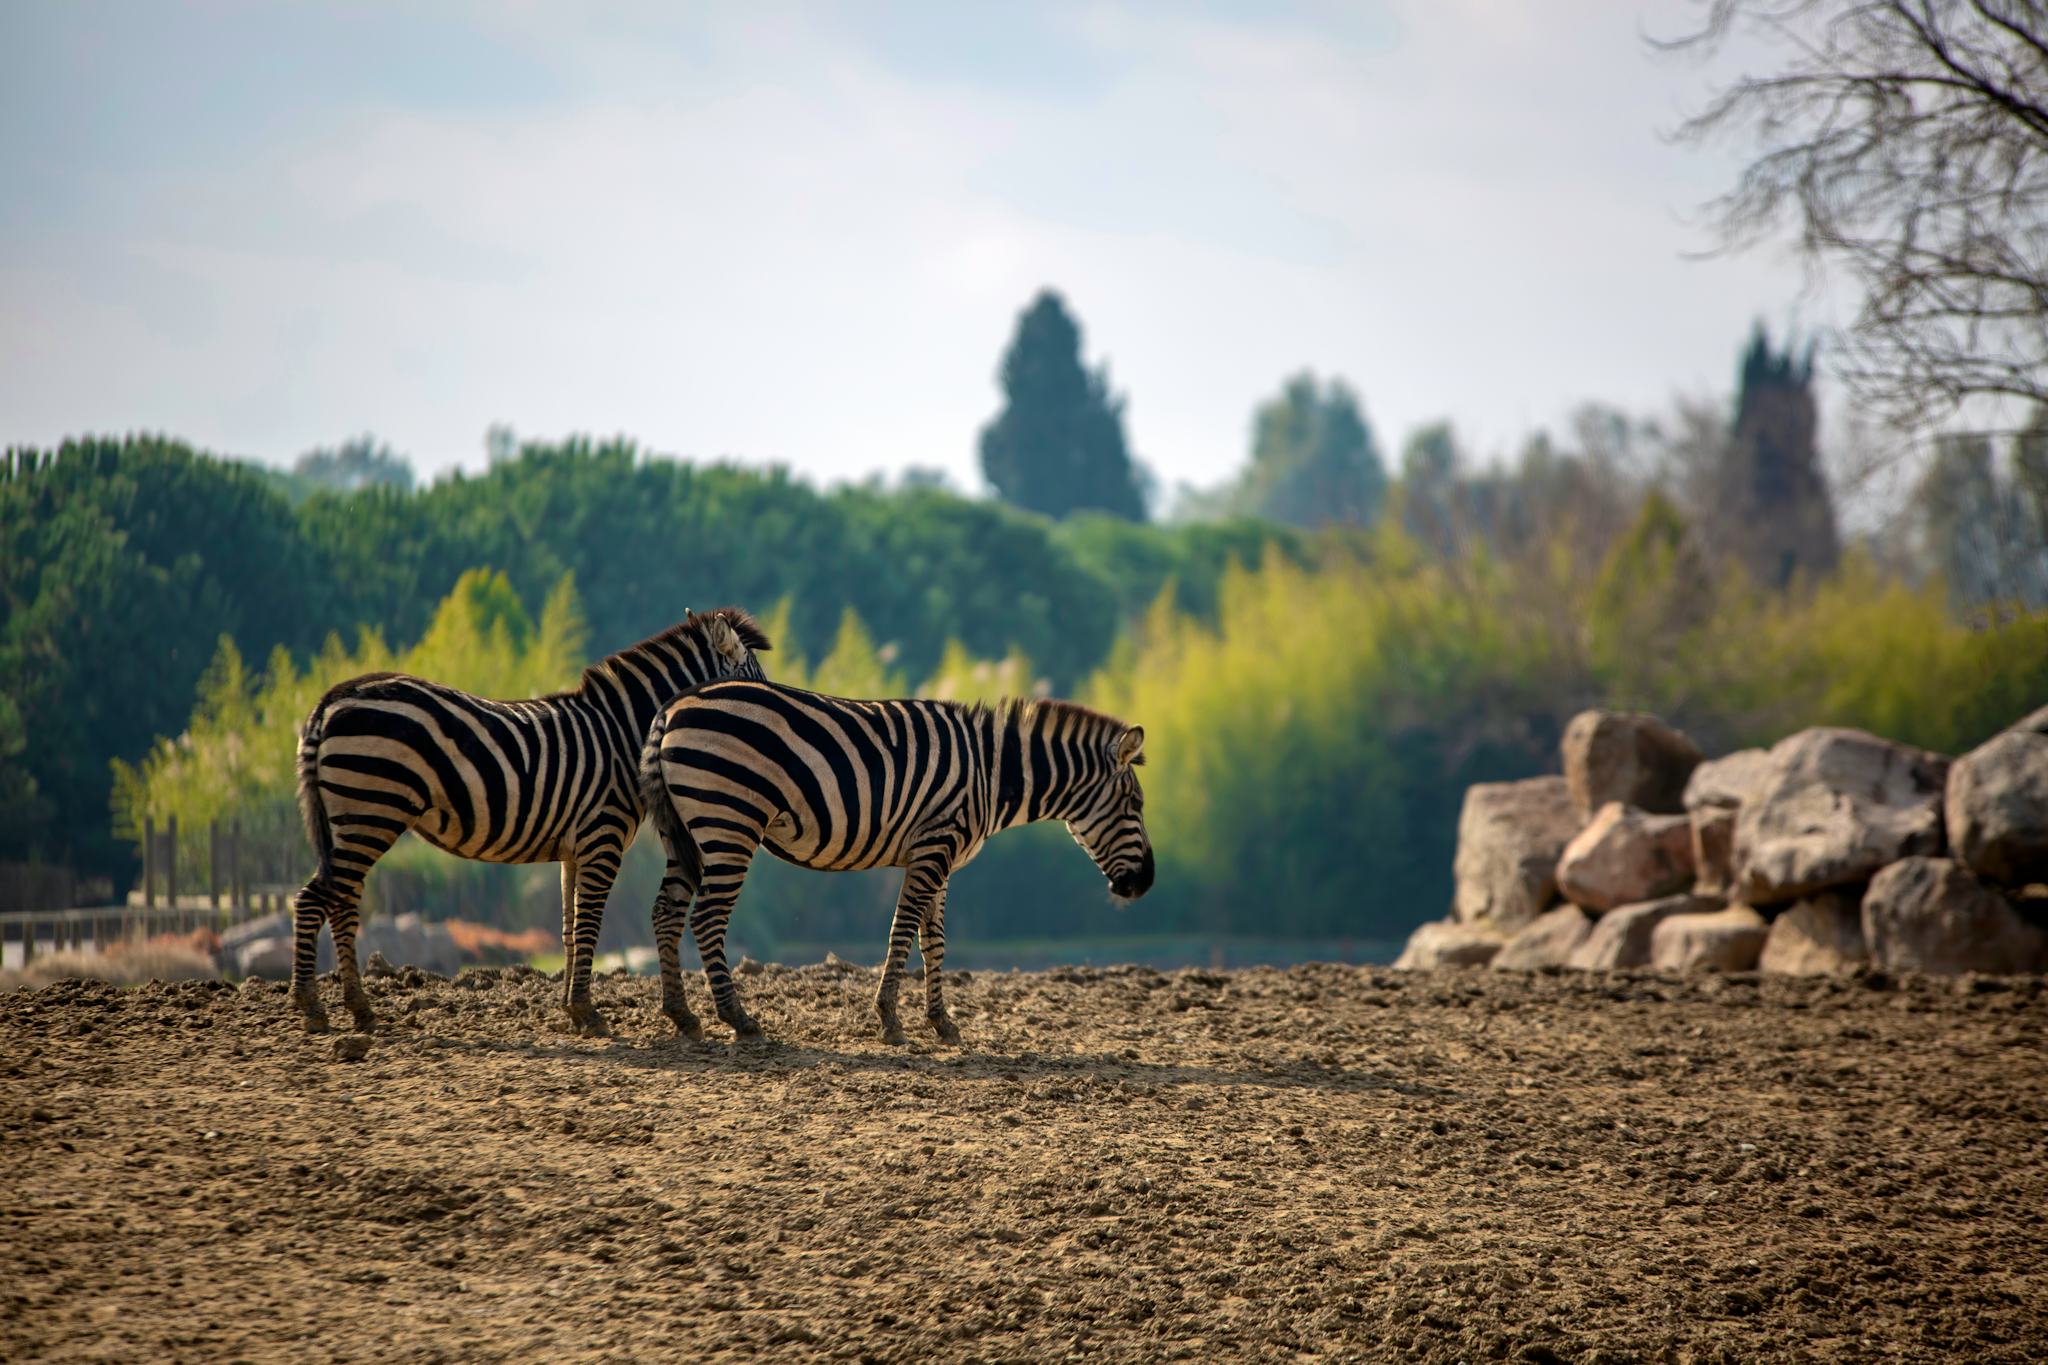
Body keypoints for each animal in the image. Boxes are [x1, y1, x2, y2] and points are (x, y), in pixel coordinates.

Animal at [288, 605, 770, 1035]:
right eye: (756, 681)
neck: (621, 735)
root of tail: (334, 696)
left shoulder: (575, 849)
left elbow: (570, 927)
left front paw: (572, 1011)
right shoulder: (602, 837)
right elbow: (590, 922)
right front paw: (588, 1014)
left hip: (356, 817)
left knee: (337, 900)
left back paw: (354, 1009)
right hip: (371, 809)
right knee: (319, 899)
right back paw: (316, 1008)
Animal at [638, 683, 1155, 1047]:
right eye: (1135, 804)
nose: (1145, 884)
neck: (991, 775)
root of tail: (673, 707)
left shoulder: (943, 856)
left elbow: (935, 942)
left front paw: (942, 1022)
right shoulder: (935, 845)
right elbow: (903, 930)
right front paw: (890, 1019)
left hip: (685, 831)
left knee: (666, 912)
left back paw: (682, 1015)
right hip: (729, 821)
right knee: (707, 918)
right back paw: (738, 1019)